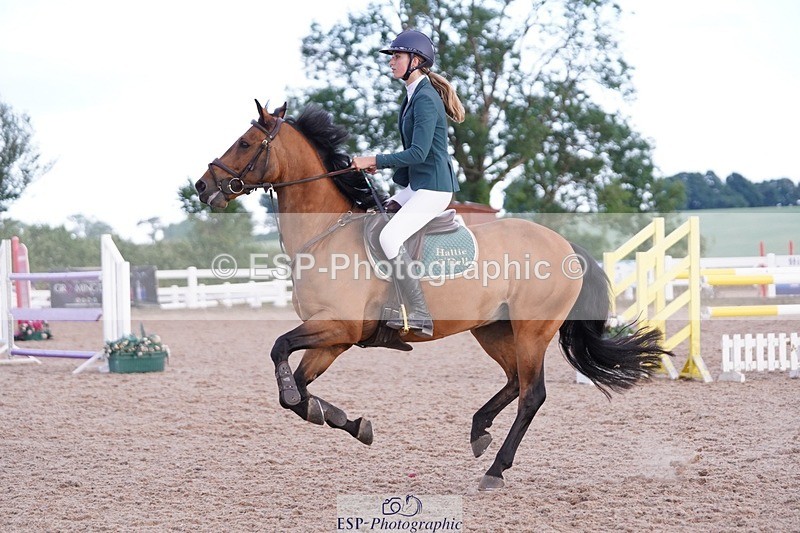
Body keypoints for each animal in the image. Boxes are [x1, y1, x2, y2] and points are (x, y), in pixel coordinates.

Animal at [194, 100, 670, 490]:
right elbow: (298, 386)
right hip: (493, 330)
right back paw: (479, 430)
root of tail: (565, 244)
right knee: (514, 382)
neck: (324, 234)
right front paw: (348, 421)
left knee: (532, 394)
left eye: (245, 143)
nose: (201, 186)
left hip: (532, 331)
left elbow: (280, 355)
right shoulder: (335, 338)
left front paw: (315, 407)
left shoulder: (338, 326)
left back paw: (495, 470)